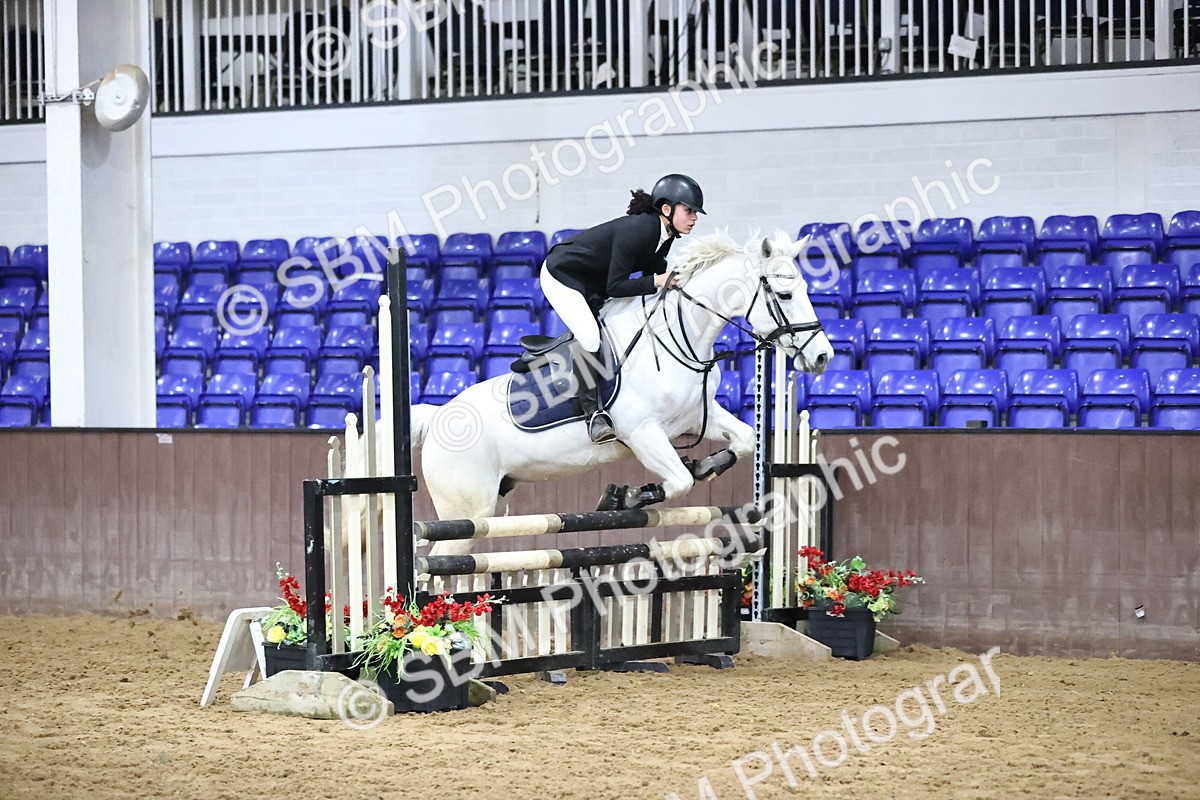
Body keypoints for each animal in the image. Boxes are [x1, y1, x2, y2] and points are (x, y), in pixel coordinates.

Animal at [406, 229, 834, 556]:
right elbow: (679, 481)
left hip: (492, 502)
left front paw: (704, 467)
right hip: (467, 511)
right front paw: (629, 496)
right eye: (785, 295)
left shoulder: (696, 417)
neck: (677, 338)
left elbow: (743, 440)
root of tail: (438, 415)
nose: (823, 356)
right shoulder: (642, 433)